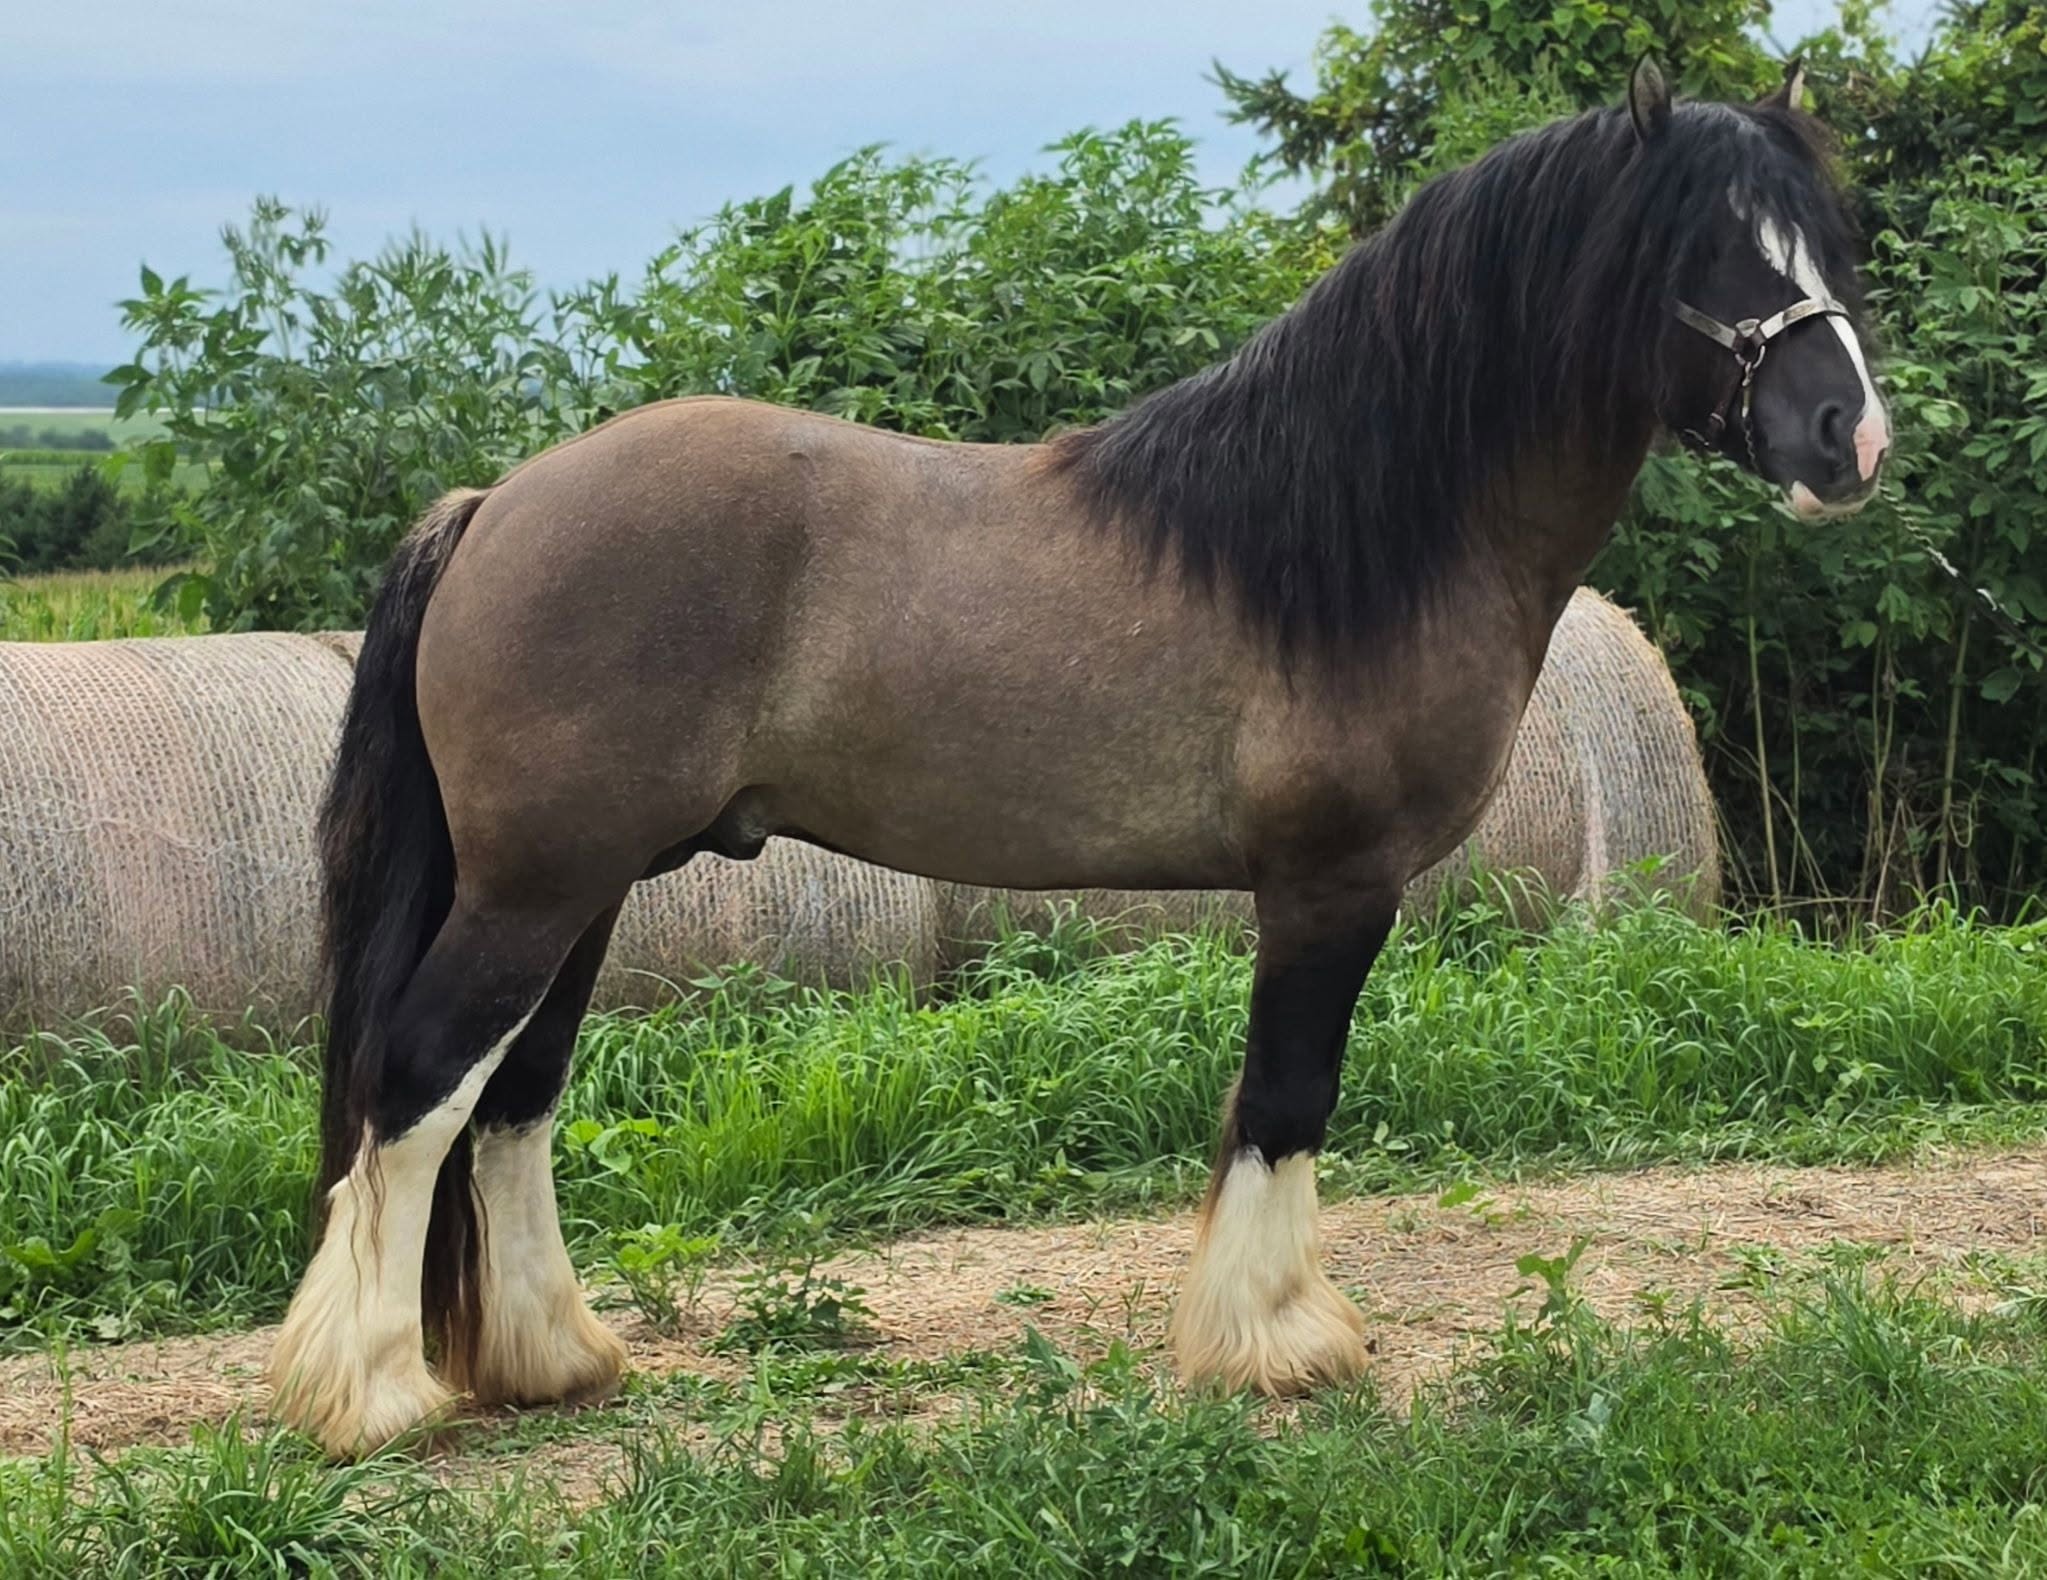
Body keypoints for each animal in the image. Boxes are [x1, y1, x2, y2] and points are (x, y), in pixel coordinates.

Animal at [270, 57, 1890, 1457]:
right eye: (1704, 250)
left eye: (1822, 237)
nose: (1847, 439)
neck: (1356, 533)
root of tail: (495, 505)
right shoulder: (1327, 884)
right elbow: (1286, 1097)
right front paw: (1272, 1342)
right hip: (539, 889)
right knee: (422, 1081)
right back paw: (372, 1395)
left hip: (587, 889)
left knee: (513, 1097)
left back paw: (552, 1359)